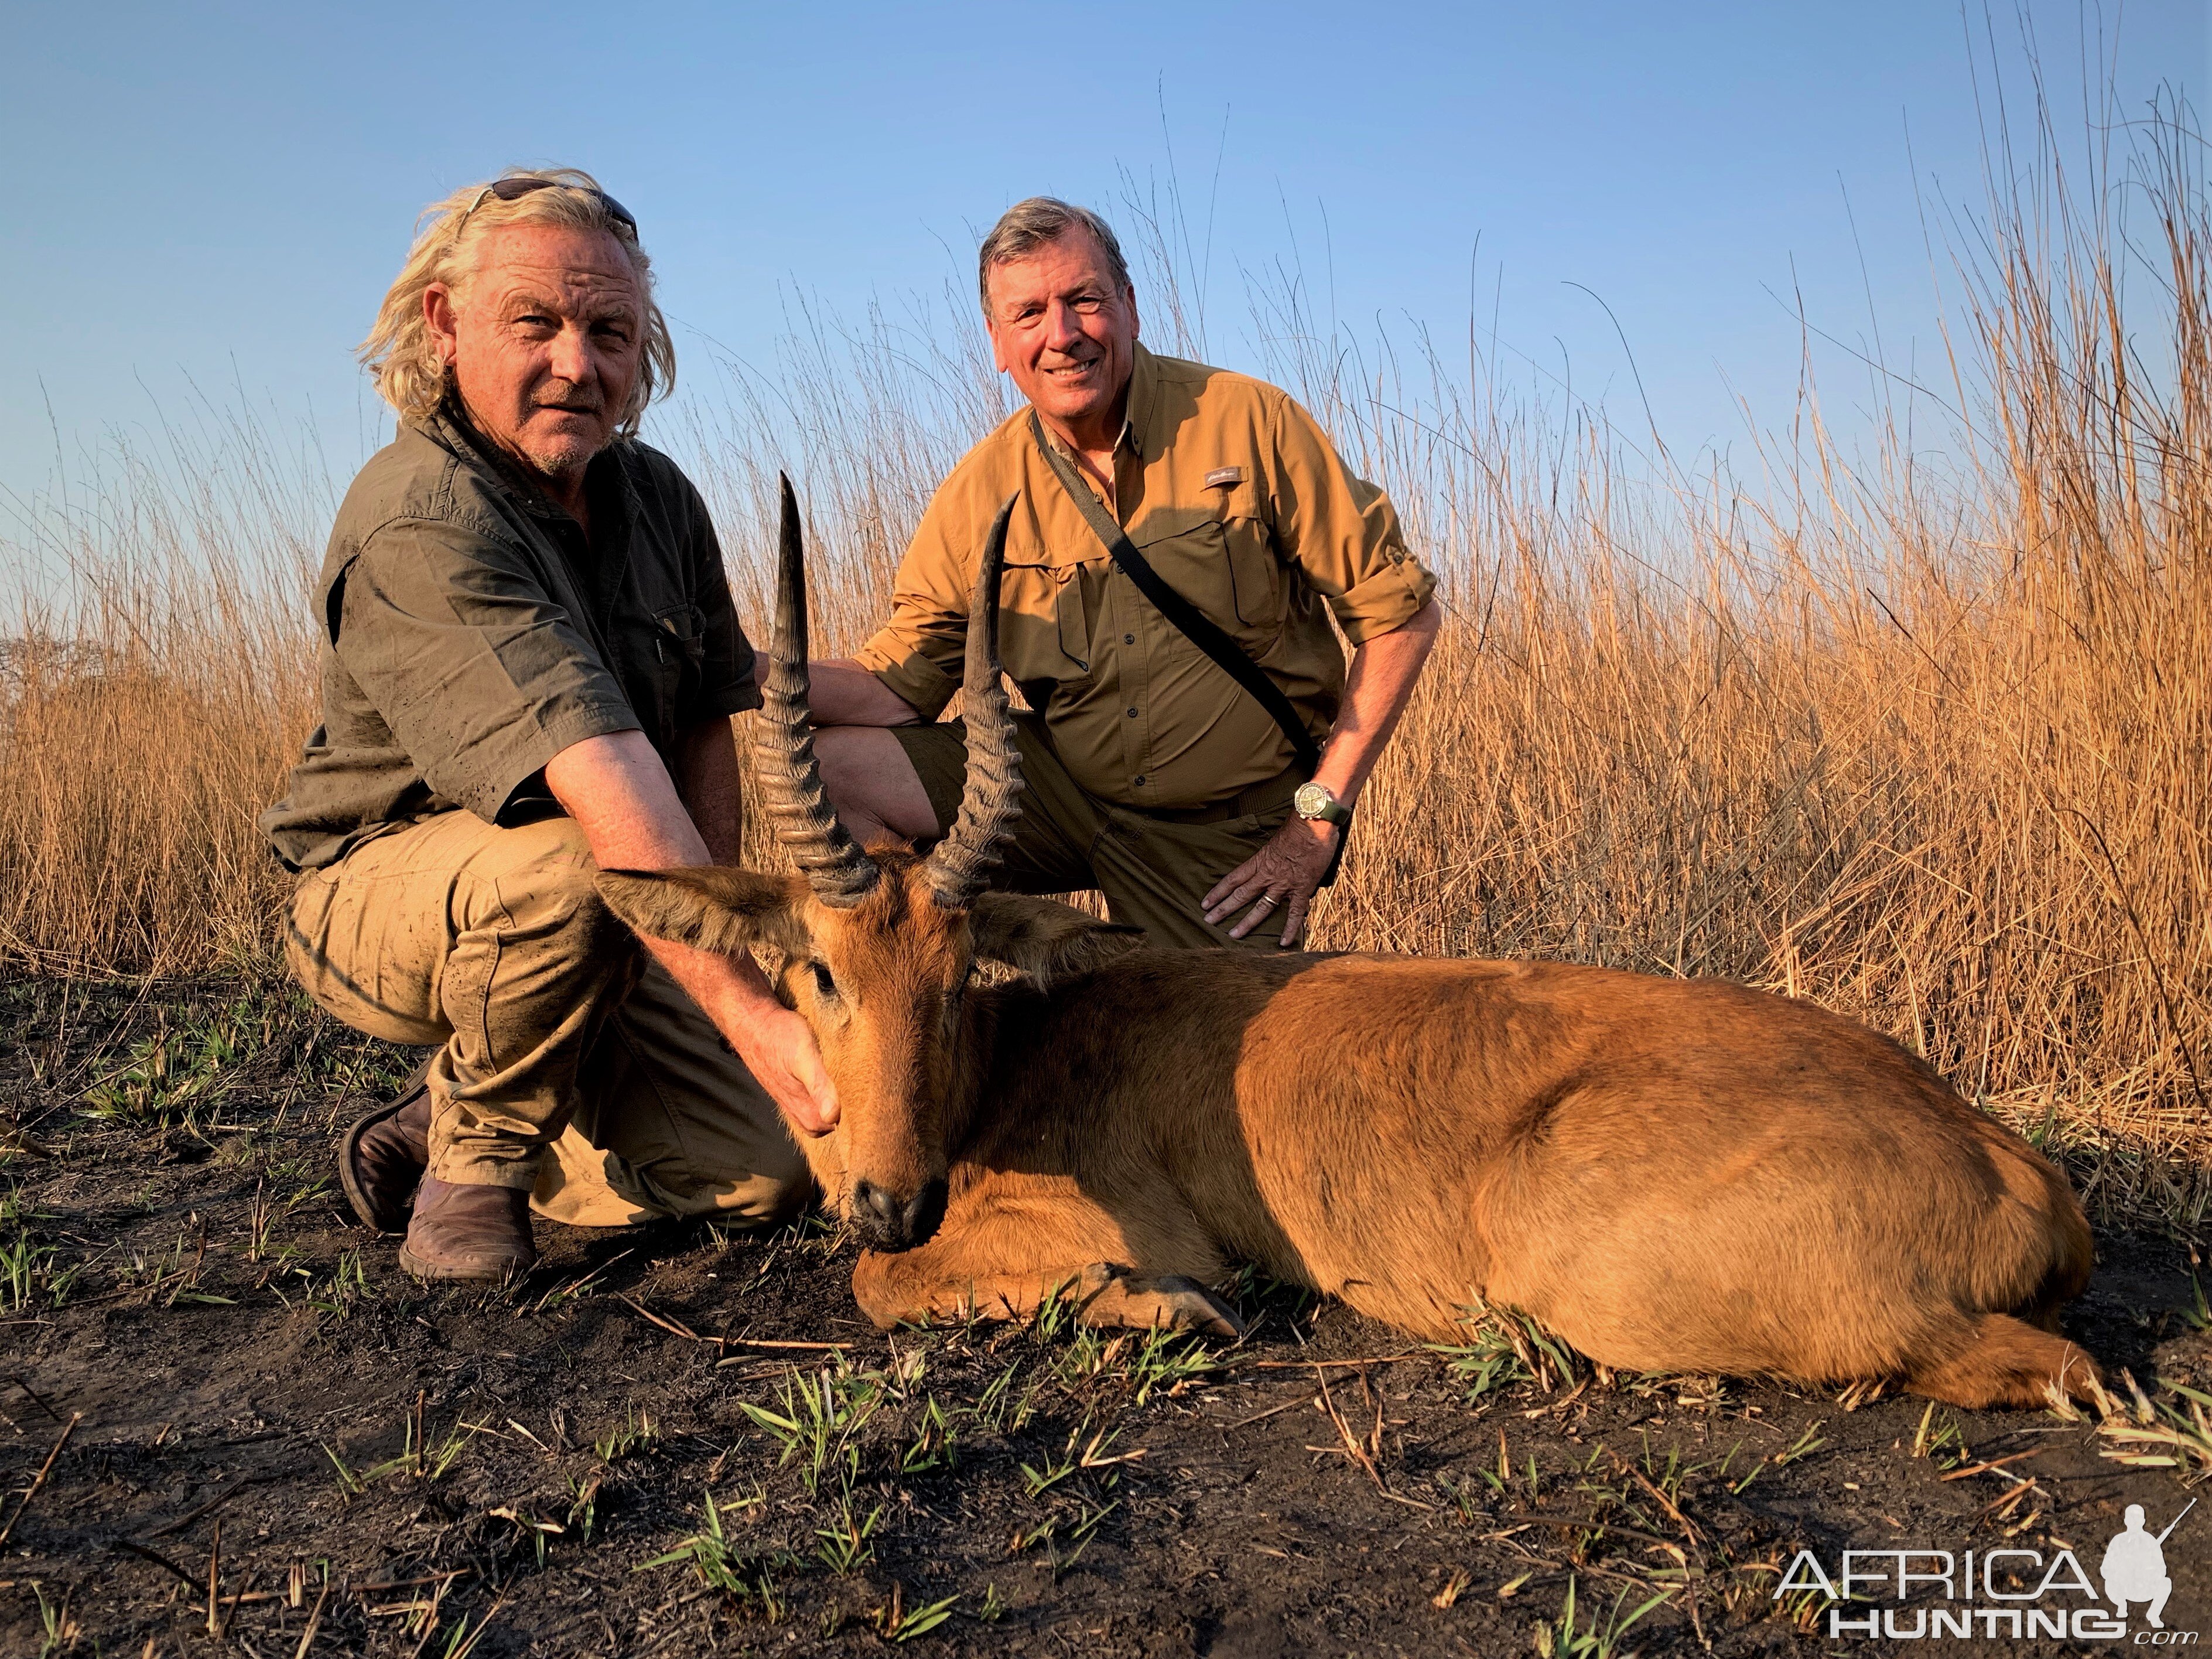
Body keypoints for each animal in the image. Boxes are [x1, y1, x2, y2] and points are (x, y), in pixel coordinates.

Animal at [597, 480, 2097, 1415]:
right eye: (818, 970)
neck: (1019, 1059)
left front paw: (1167, 1312)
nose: (891, 1196)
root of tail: (2000, 1156)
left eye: (959, 979)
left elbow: (886, 1284)